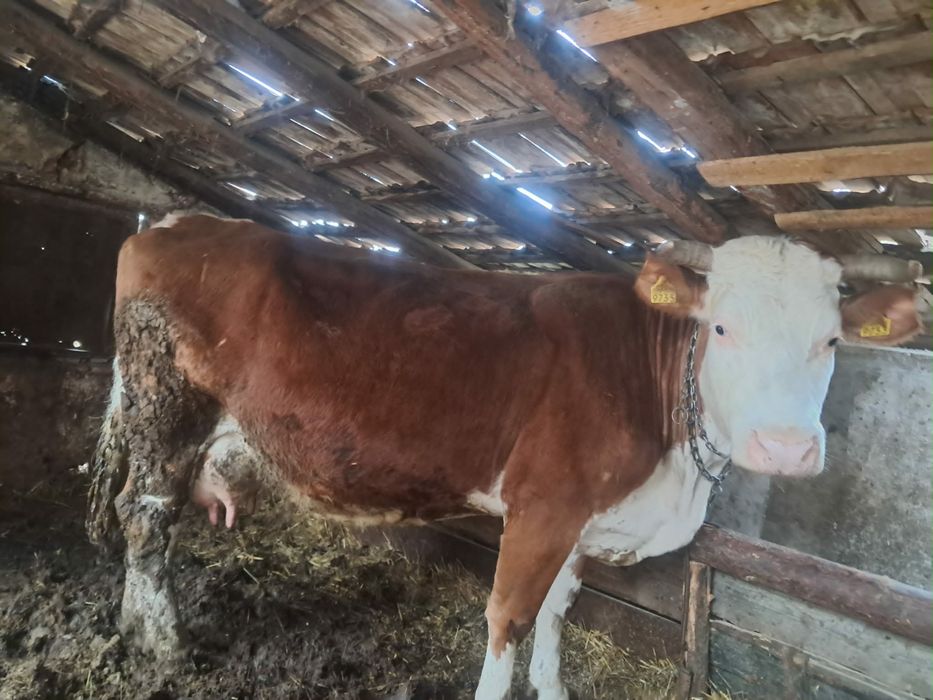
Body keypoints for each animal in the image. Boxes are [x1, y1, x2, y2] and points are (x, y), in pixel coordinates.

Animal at [87, 215, 921, 699]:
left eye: (831, 339)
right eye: (720, 328)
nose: (784, 447)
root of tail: (175, 220)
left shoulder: (583, 519)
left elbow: (556, 615)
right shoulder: (543, 504)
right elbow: (510, 619)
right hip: (166, 407)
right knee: (145, 518)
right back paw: (160, 644)